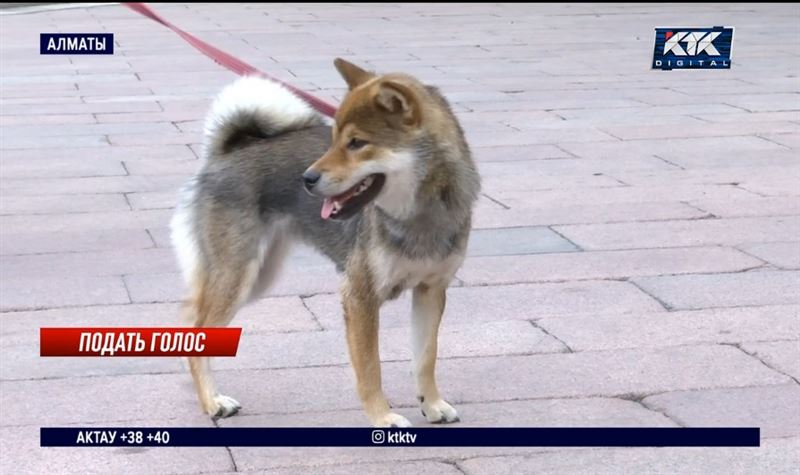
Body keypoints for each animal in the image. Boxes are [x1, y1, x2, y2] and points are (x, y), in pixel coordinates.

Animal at [170, 58, 482, 428]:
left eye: (357, 143)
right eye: (334, 140)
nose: (306, 178)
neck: (418, 215)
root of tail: (229, 150)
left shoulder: (430, 291)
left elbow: (425, 357)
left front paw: (432, 404)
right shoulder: (360, 296)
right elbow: (371, 368)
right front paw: (382, 416)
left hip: (257, 276)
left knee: (190, 318)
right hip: (238, 276)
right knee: (199, 326)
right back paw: (212, 400)